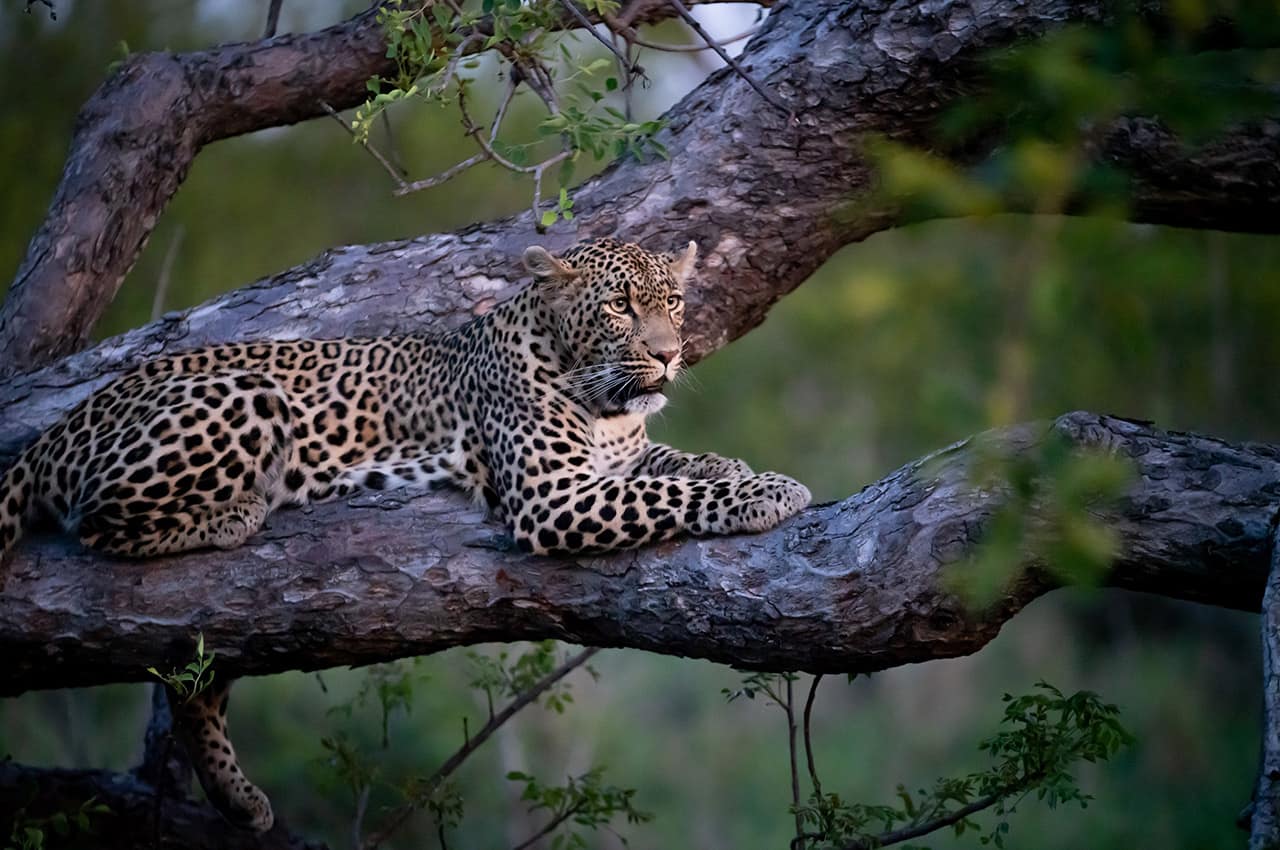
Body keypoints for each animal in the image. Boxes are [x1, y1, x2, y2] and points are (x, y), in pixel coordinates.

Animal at [0, 237, 811, 831]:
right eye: (619, 306)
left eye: (672, 301)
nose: (670, 354)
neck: (598, 395)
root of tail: (59, 429)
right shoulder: (554, 497)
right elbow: (670, 492)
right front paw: (770, 491)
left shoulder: (621, 458)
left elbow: (678, 464)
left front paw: (737, 465)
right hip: (241, 398)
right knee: (99, 523)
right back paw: (235, 511)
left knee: (196, 684)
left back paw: (239, 798)